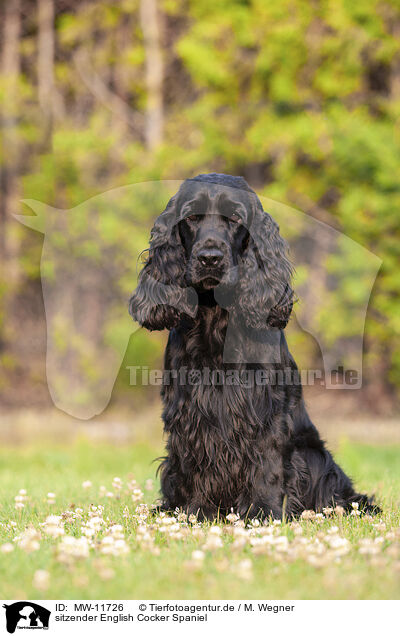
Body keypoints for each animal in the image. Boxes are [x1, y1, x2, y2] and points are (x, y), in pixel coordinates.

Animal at [130, 171, 380, 520]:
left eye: (235, 217)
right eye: (191, 217)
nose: (210, 258)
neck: (218, 316)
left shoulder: (268, 405)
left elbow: (268, 462)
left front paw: (264, 512)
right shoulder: (189, 406)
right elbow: (196, 458)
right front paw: (198, 512)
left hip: (314, 455)